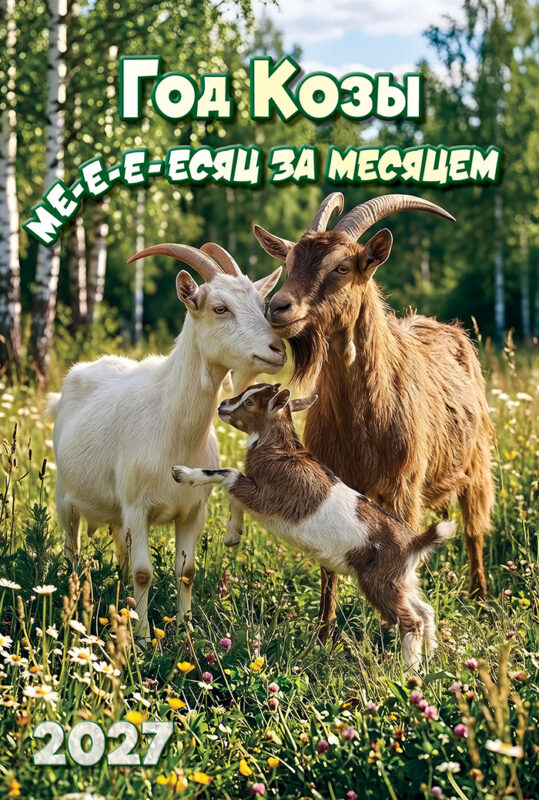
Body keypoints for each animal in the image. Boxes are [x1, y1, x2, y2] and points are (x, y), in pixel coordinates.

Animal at [47, 243, 285, 641]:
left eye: (261, 303)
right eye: (220, 308)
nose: (278, 348)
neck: (174, 429)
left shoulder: (193, 511)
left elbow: (186, 572)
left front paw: (187, 629)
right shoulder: (137, 507)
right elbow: (144, 572)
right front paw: (143, 638)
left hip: (117, 512)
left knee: (119, 548)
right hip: (66, 496)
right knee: (71, 547)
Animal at [172, 382, 456, 668]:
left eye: (250, 402)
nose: (222, 406)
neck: (279, 449)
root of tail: (414, 542)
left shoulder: (266, 496)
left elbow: (229, 476)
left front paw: (184, 474)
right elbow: (234, 494)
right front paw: (233, 535)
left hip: (380, 582)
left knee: (412, 621)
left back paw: (410, 669)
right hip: (402, 580)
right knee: (426, 611)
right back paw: (430, 656)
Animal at [252, 193, 494, 639]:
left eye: (342, 267)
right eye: (290, 261)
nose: (277, 307)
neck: (364, 420)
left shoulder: (403, 485)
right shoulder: (331, 478)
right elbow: (327, 557)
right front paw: (324, 631)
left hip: (476, 460)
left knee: (475, 528)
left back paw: (480, 596)